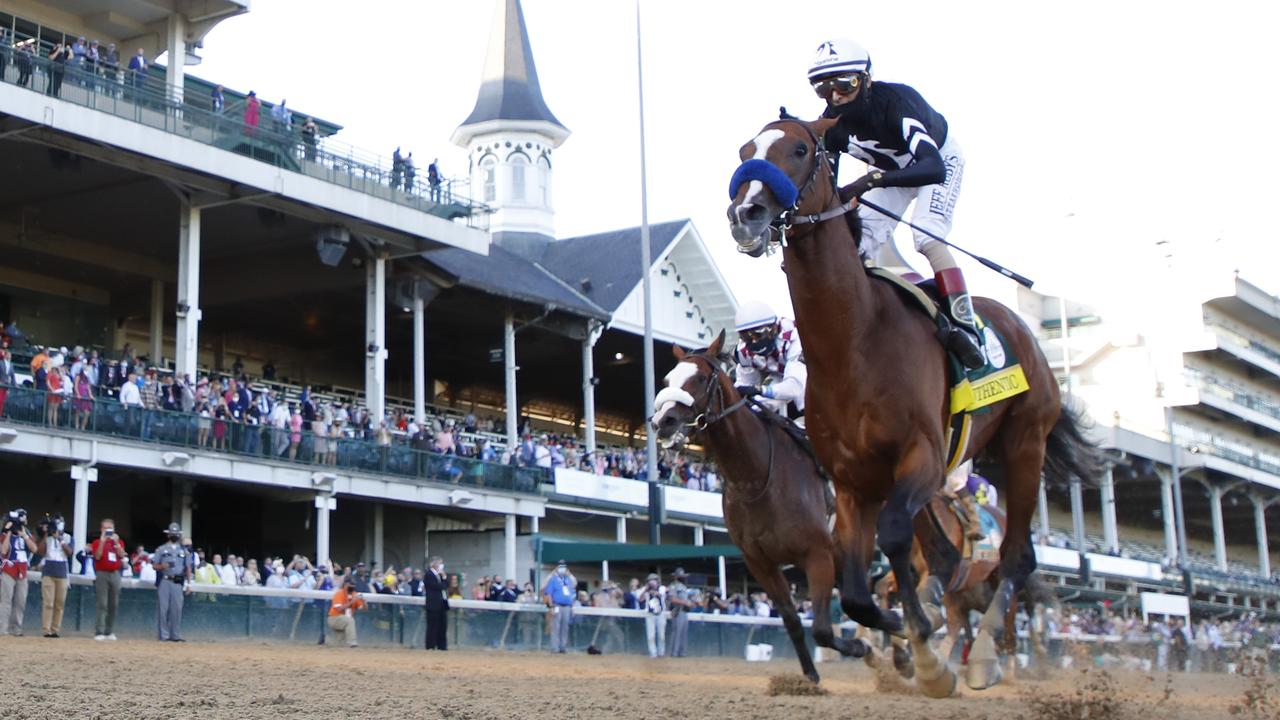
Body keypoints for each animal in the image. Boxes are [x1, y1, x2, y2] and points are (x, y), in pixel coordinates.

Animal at [650, 330, 870, 676]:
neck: (756, 477)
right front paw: (810, 678)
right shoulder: (760, 562)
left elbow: (822, 629)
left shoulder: (817, 554)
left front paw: (862, 648)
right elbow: (793, 620)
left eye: (700, 378)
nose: (663, 420)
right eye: (668, 378)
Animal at [727, 116, 1095, 691]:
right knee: (961, 561)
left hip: (1025, 443)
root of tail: (1019, 326)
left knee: (1015, 557)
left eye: (801, 148)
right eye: (746, 150)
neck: (854, 341)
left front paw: (924, 652)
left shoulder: (922, 456)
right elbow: (859, 591)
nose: (747, 214)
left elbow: (897, 541)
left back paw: (983, 656)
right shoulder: (853, 484)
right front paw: (902, 639)